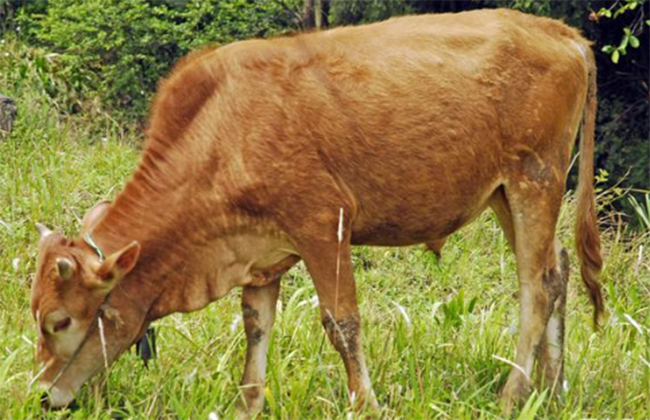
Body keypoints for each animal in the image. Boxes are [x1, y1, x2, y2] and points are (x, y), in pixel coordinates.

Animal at [31, 9, 604, 416]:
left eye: (60, 321)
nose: (42, 395)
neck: (223, 129)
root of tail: (560, 33)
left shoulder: (324, 225)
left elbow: (341, 322)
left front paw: (365, 404)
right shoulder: (259, 253)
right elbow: (256, 327)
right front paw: (247, 405)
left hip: (535, 179)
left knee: (535, 287)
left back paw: (512, 395)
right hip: (505, 193)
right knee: (557, 271)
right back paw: (550, 391)